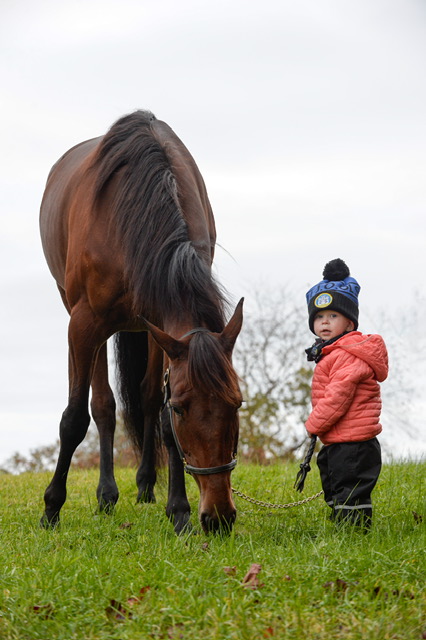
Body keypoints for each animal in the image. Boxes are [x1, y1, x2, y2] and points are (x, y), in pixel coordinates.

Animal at [39, 111, 243, 536]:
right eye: (182, 408)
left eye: (237, 403)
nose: (218, 516)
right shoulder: (83, 325)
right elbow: (75, 418)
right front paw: (51, 507)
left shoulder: (165, 331)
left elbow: (159, 416)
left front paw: (178, 510)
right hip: (84, 322)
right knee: (102, 406)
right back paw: (106, 495)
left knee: (146, 397)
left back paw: (146, 487)